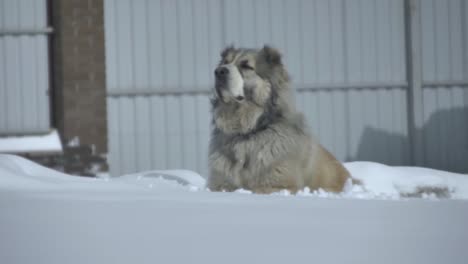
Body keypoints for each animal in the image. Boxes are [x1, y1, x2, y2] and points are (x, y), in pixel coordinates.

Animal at [207, 45, 352, 194]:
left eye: (246, 66)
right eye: (225, 62)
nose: (219, 71)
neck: (247, 134)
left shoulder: (280, 186)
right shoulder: (219, 185)